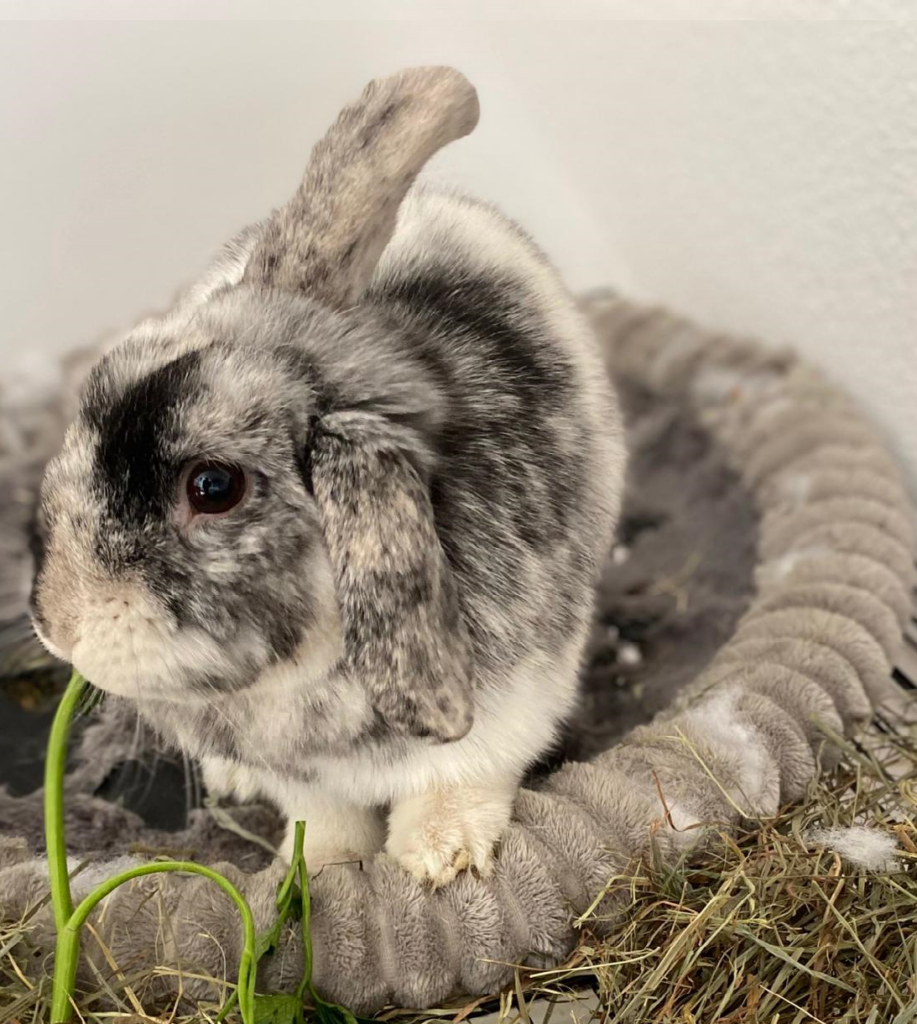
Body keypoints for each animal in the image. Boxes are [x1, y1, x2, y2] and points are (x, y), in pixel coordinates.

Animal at [30, 67, 625, 886]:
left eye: (212, 486)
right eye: (89, 409)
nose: (58, 624)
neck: (308, 669)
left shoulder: (507, 712)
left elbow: (457, 780)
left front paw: (436, 863)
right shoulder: (302, 779)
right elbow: (323, 817)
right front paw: (320, 872)